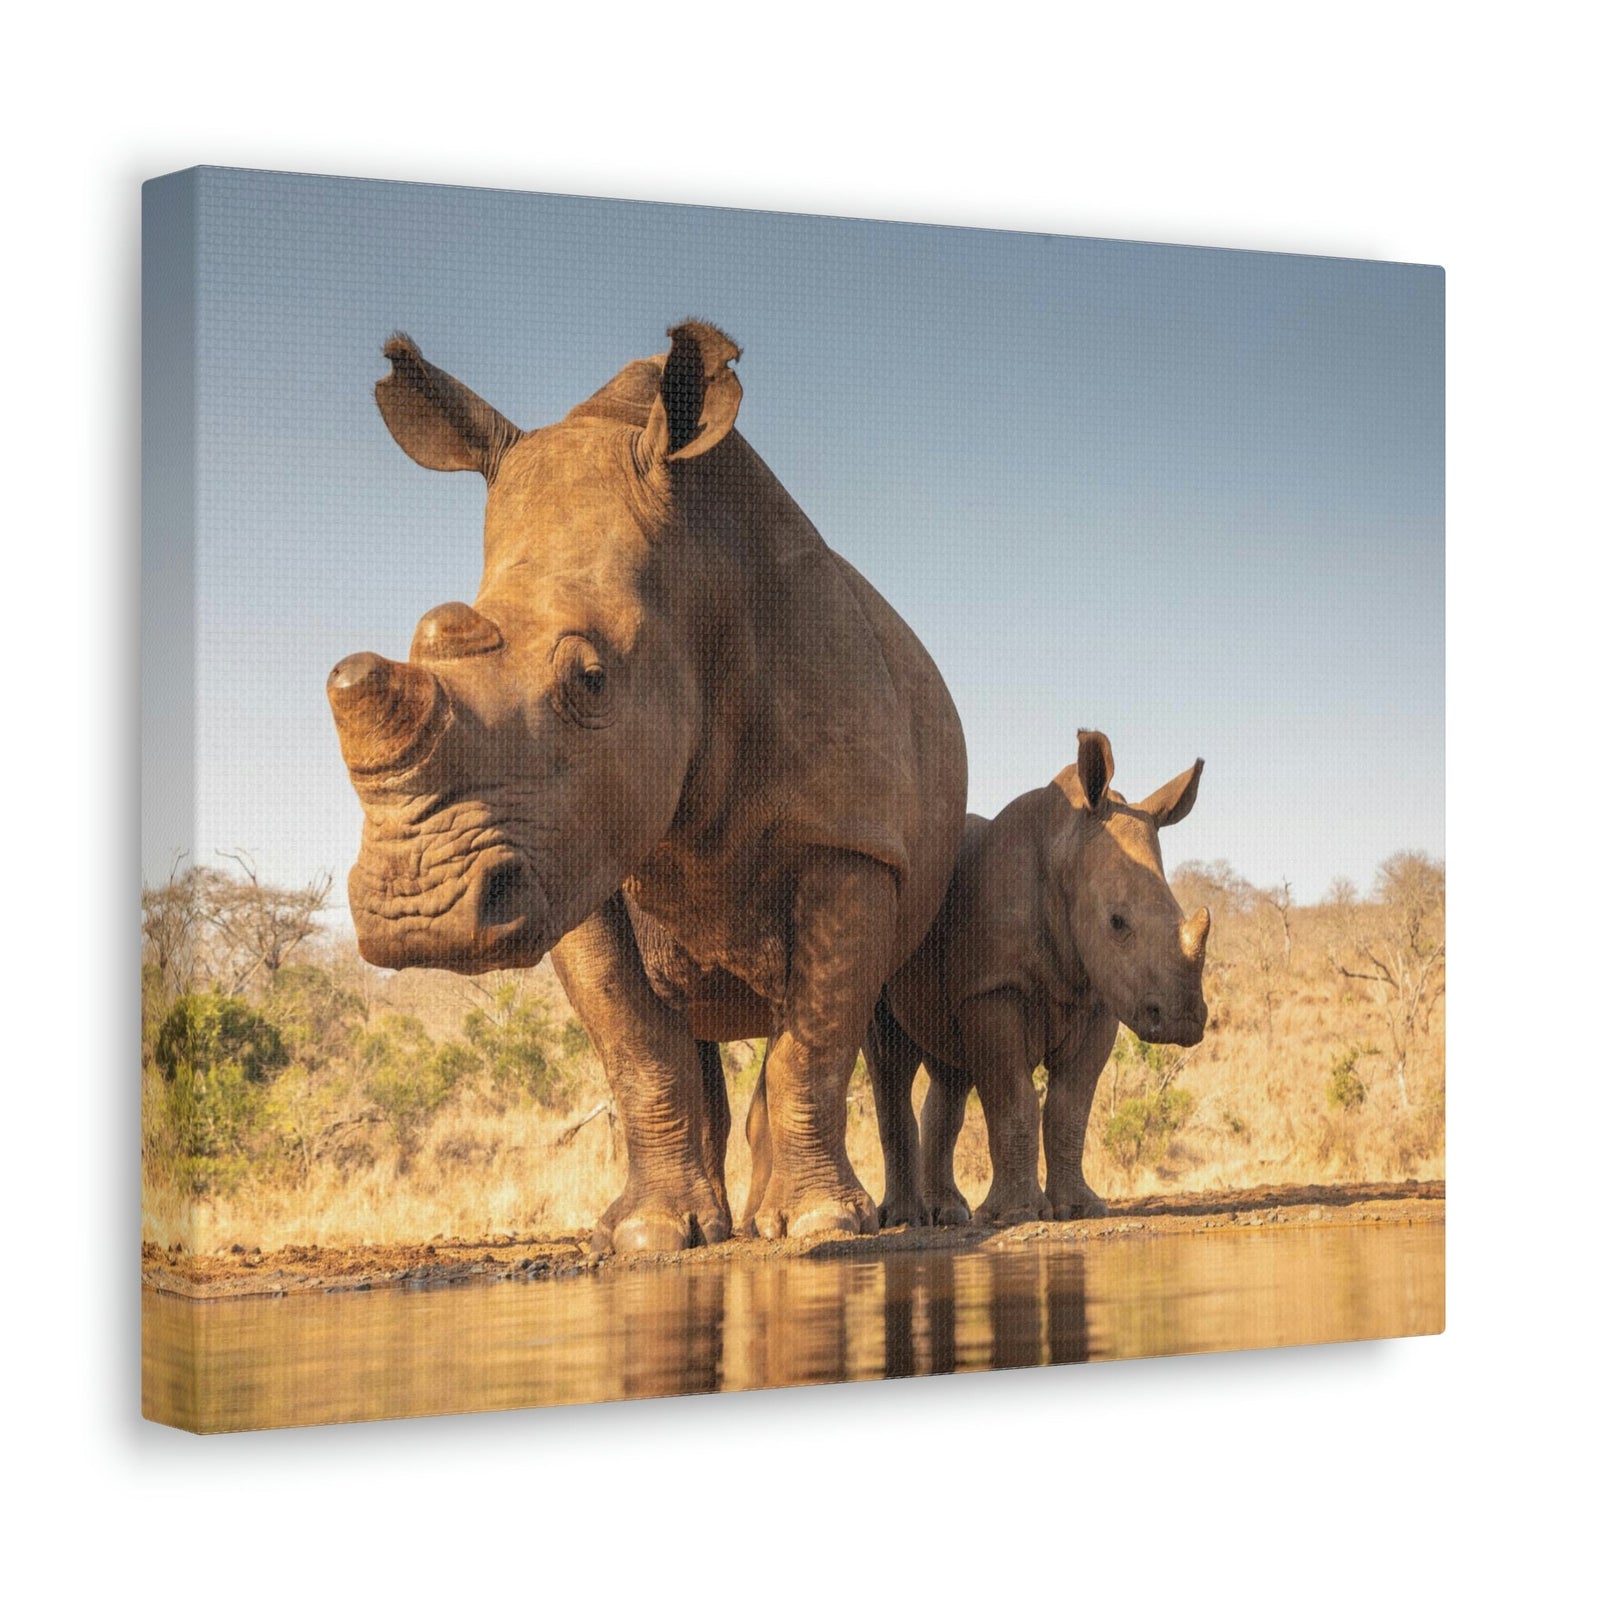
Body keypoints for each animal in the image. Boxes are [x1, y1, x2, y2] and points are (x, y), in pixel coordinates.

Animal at [327, 322, 967, 1249]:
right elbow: (635, 1045)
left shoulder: (848, 839)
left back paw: (885, 1219)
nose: (419, 916)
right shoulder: (573, 854)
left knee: (876, 1029)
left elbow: (815, 1040)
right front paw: (650, 1236)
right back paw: (728, 1222)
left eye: (591, 680)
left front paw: (817, 1225)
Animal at [867, 729, 1208, 1227]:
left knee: (950, 1073)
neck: (1064, 847)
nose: (1184, 1021)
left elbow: (1070, 1107)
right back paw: (903, 1219)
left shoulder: (1100, 996)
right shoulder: (994, 987)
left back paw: (948, 1213)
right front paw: (1016, 1215)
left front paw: (1080, 1208)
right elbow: (1014, 1099)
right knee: (889, 1057)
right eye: (1117, 922)